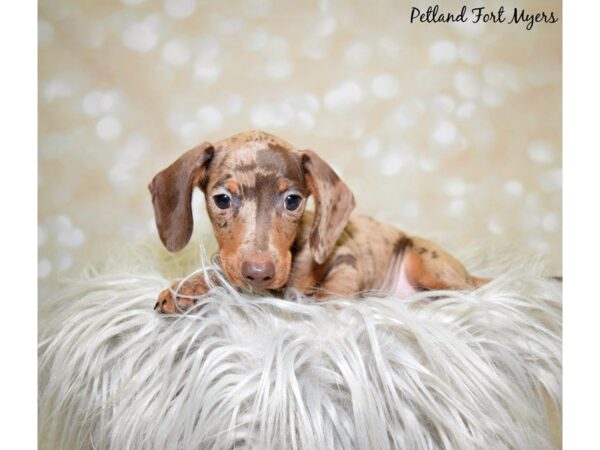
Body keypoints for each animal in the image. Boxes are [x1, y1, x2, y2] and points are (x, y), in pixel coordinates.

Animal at [150, 130, 488, 312]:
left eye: (292, 201)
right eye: (222, 199)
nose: (259, 274)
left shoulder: (347, 259)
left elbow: (334, 291)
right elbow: (220, 269)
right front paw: (188, 286)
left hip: (427, 263)